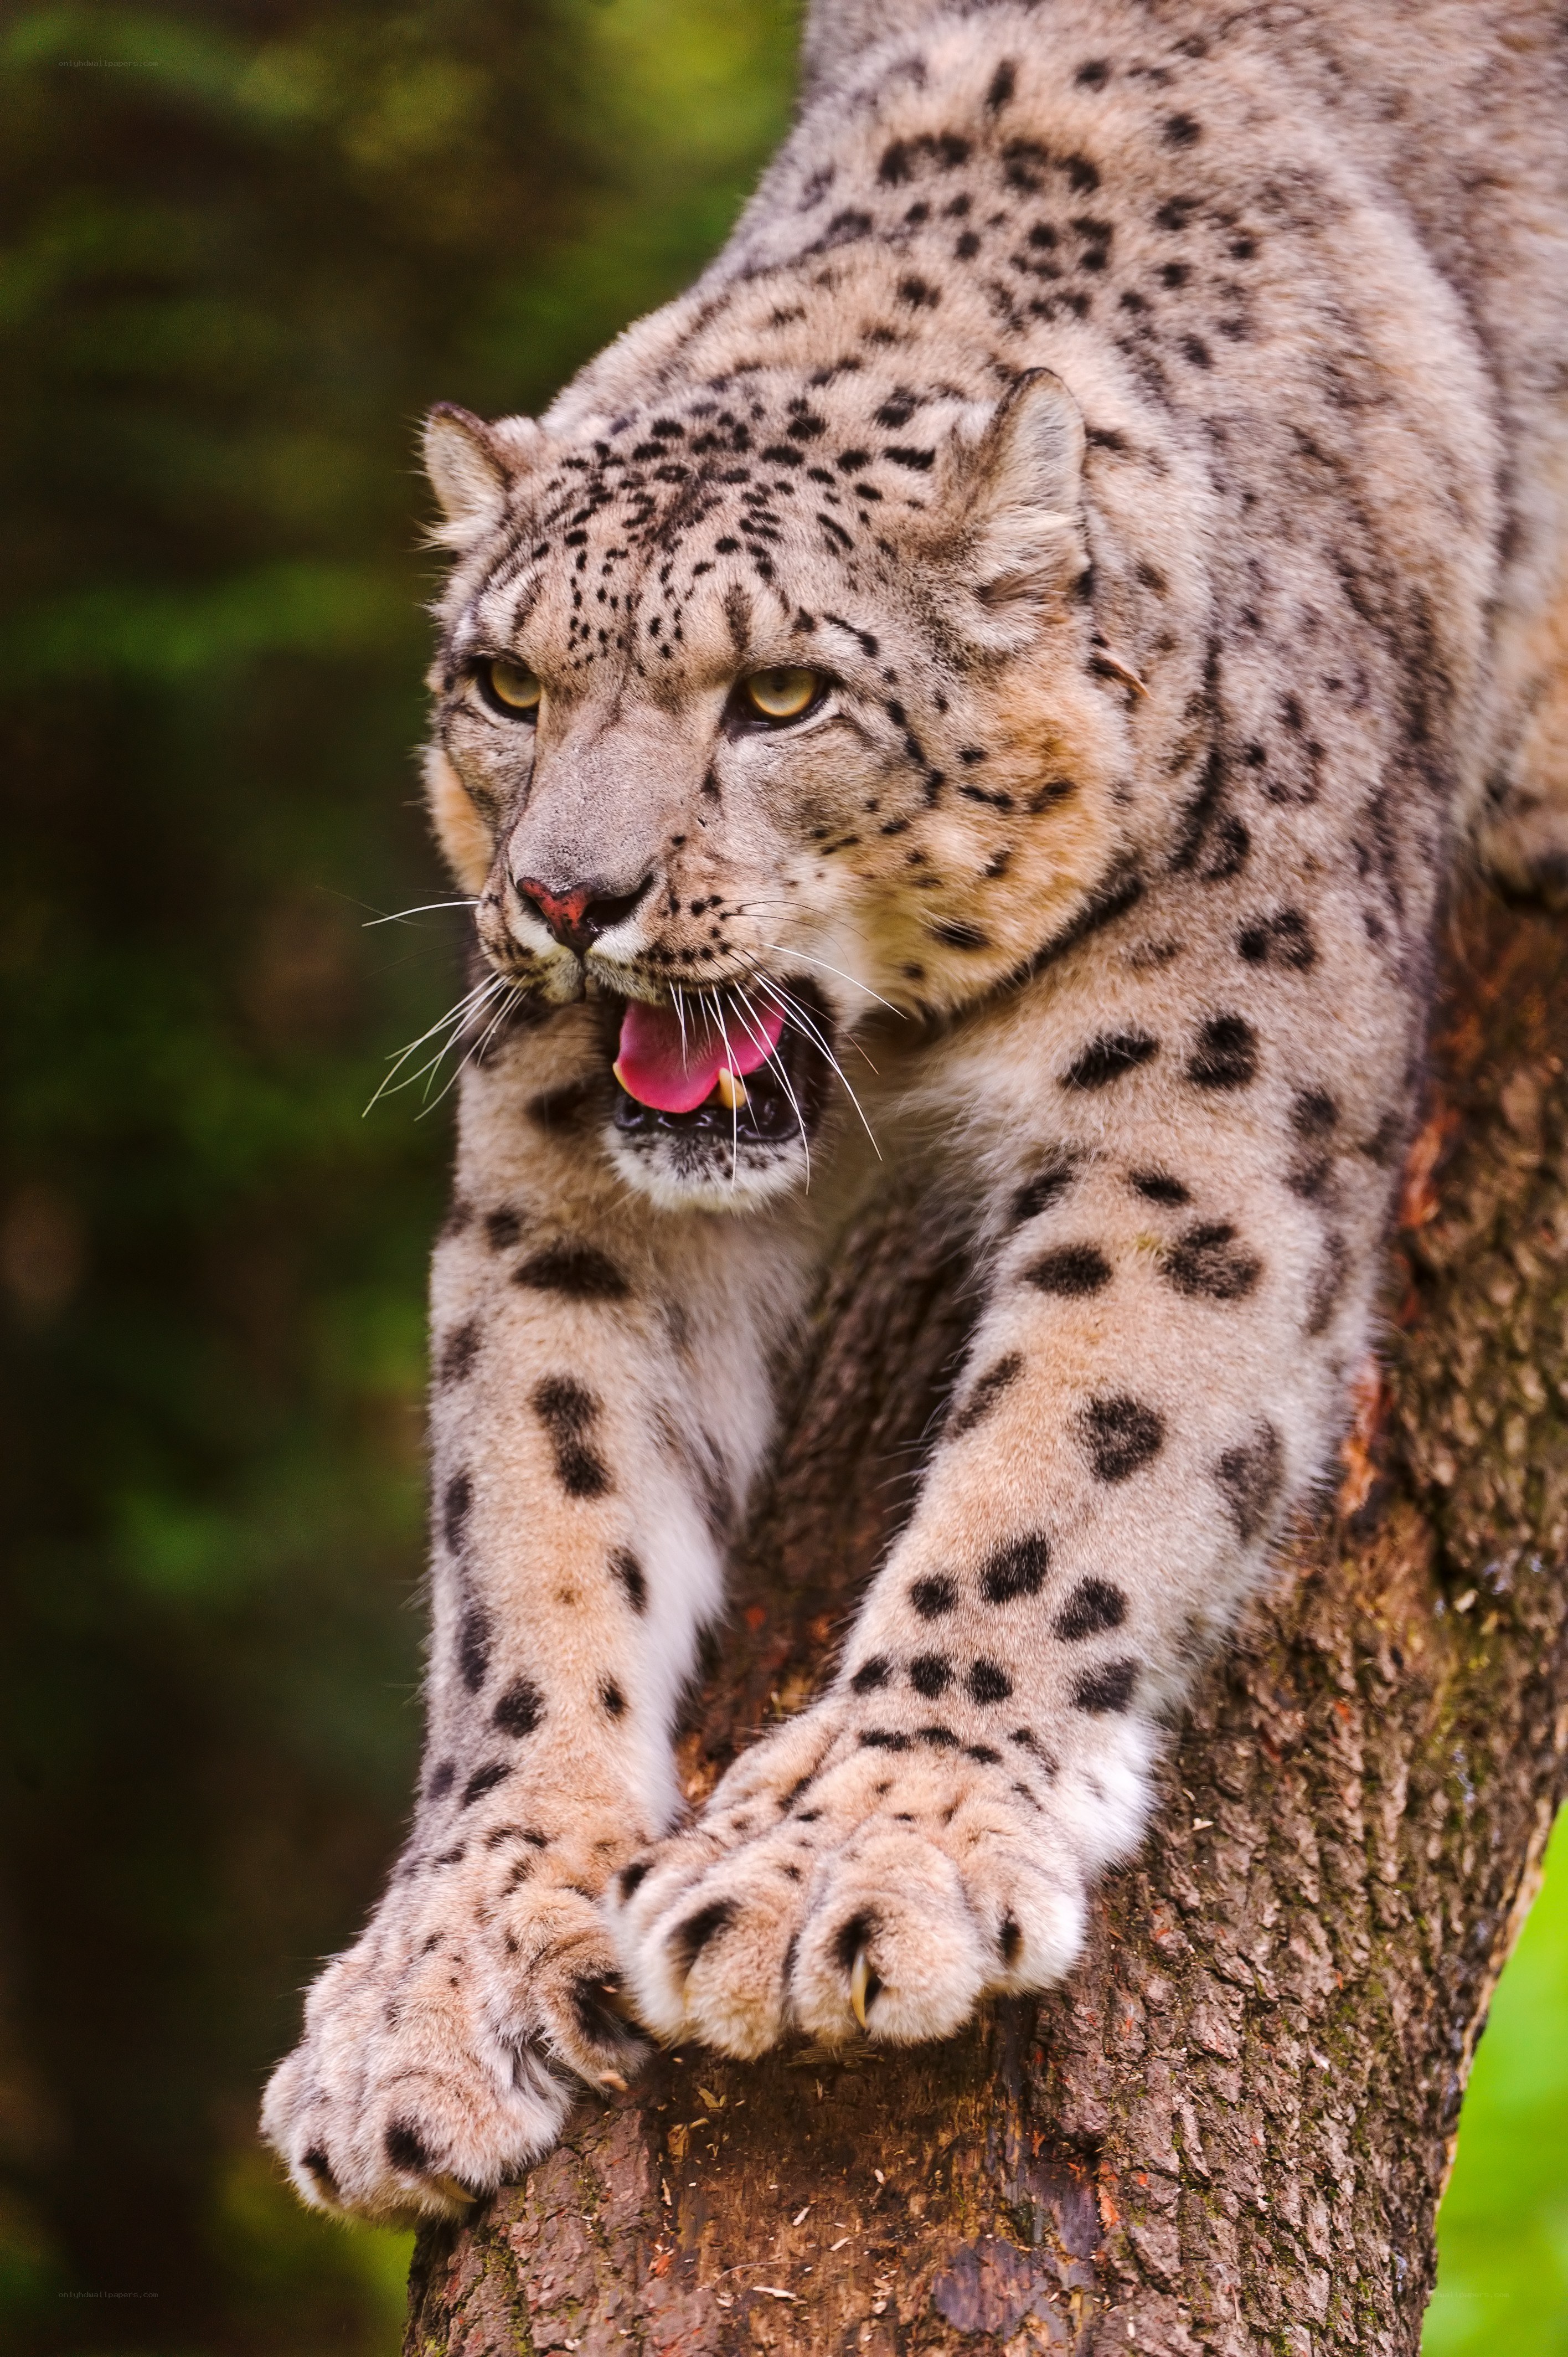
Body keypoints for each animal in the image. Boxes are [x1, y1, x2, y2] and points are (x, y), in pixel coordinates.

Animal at [263, 0, 1568, 2223]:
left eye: (782, 692)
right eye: (504, 683)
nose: (568, 898)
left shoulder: (1197, 1119)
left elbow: (1072, 1462)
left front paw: (852, 1852)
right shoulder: (563, 1176)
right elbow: (529, 1513)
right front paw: (440, 1972)